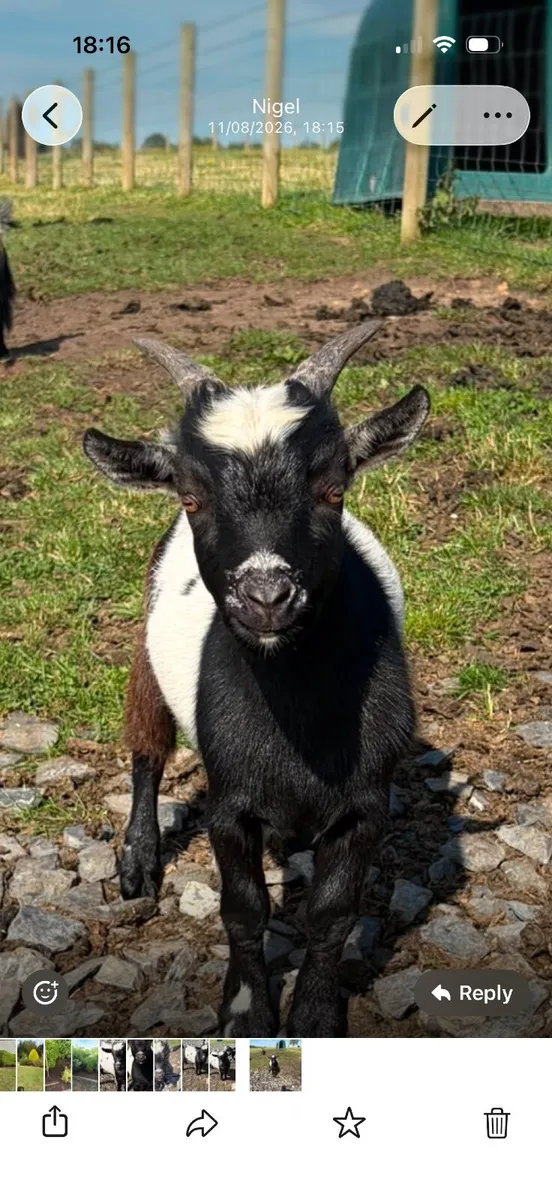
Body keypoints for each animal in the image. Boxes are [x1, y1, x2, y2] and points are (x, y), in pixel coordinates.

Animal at [83, 322, 429, 1038]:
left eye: (334, 489)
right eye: (192, 497)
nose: (267, 597)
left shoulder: (365, 804)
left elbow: (332, 916)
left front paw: (317, 1015)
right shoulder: (230, 800)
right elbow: (243, 909)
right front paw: (245, 1011)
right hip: (146, 653)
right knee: (147, 748)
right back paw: (137, 862)